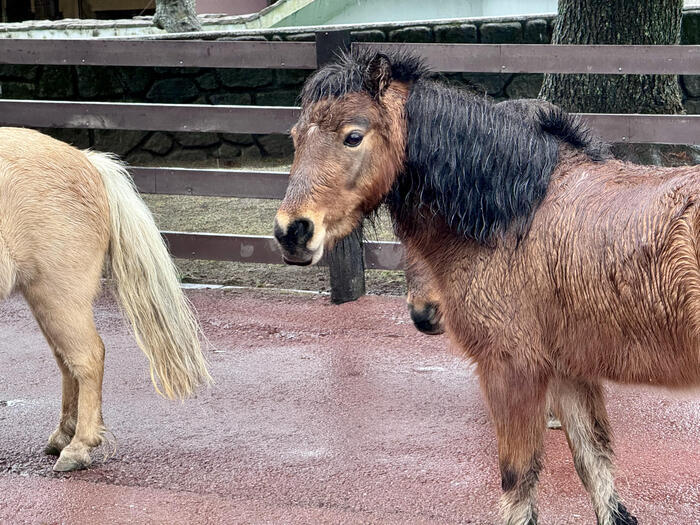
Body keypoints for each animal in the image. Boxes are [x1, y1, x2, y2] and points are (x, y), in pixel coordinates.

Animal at [0, 128, 211, 470]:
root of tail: (88, 162)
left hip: (59, 296)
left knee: (87, 358)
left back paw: (78, 448)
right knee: (68, 362)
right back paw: (64, 436)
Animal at [274, 50, 700, 524]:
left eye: (353, 136)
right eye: (295, 137)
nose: (292, 232)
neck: (518, 213)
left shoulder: (511, 370)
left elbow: (519, 485)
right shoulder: (568, 371)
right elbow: (597, 470)